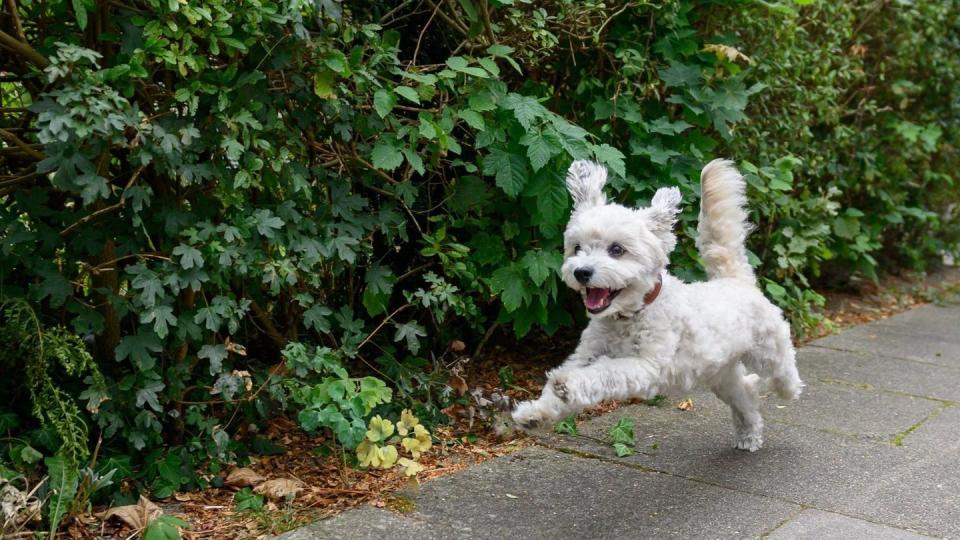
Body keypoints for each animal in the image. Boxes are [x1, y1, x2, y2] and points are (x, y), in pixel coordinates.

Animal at [510, 159, 804, 452]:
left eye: (616, 250)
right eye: (577, 248)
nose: (581, 272)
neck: (629, 316)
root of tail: (735, 280)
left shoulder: (645, 366)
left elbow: (605, 371)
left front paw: (568, 386)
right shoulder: (586, 355)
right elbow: (566, 378)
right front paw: (535, 413)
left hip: (768, 350)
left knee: (784, 369)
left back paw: (789, 389)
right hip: (722, 374)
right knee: (745, 393)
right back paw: (749, 434)